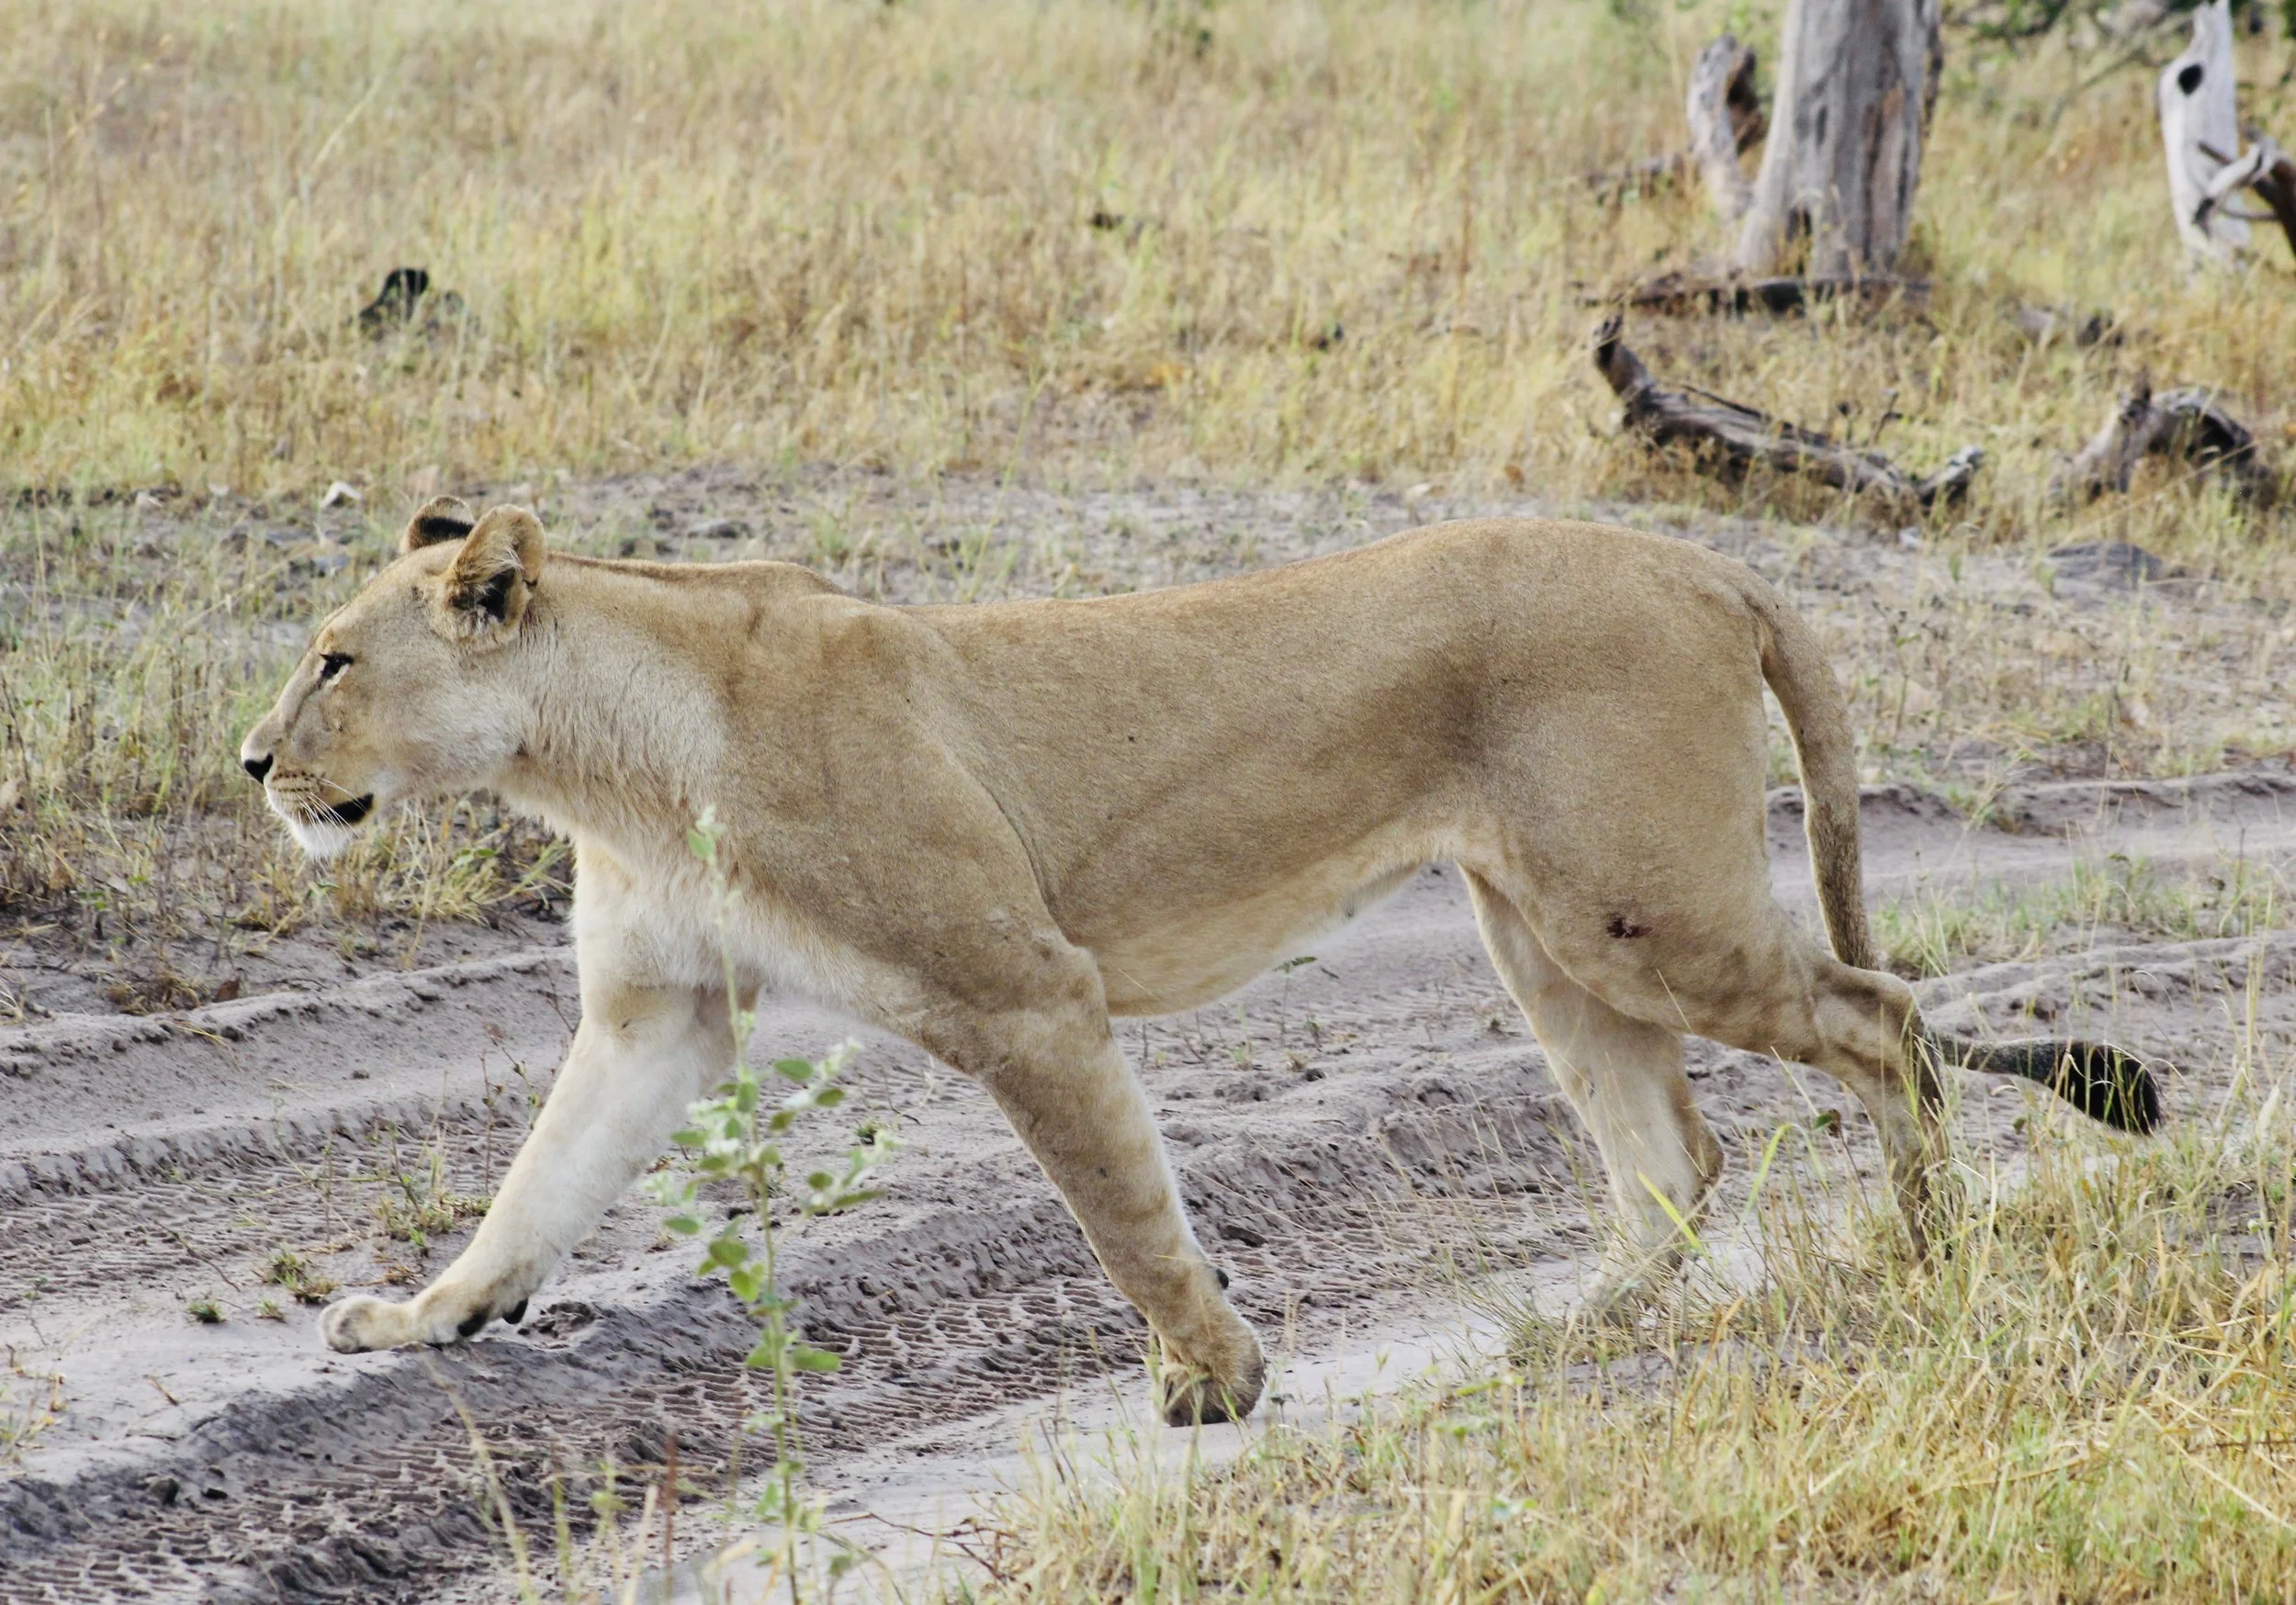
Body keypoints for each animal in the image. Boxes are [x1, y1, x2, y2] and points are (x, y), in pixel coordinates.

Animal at [240, 498, 2160, 1423]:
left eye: (334, 658)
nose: (255, 764)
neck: (609, 759)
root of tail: (1697, 553)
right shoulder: (658, 1017)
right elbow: (536, 1186)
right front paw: (426, 1314)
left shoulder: (1026, 987)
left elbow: (1123, 1206)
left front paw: (1210, 1382)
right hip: (1546, 929)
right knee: (1675, 1152)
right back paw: (1571, 1330)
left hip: (1640, 906)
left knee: (1880, 1017)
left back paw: (1928, 1255)